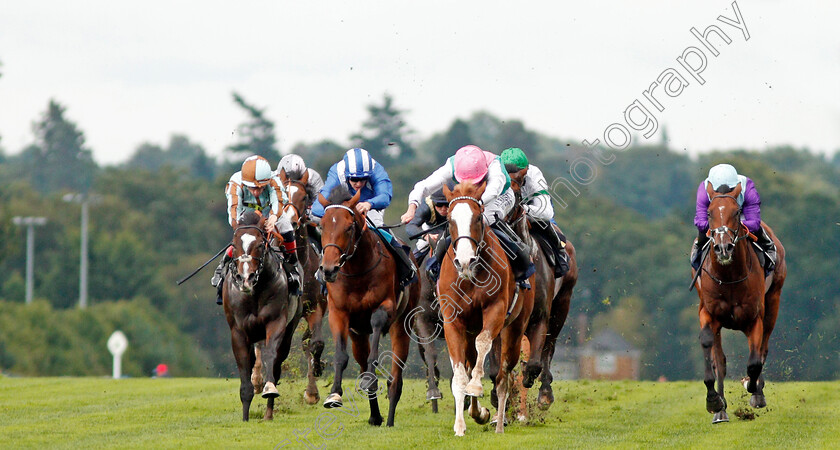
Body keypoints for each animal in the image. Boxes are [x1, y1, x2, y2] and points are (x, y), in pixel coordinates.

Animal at [221, 211, 304, 422]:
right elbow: (244, 366)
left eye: (259, 244)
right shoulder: (238, 331)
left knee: (277, 362)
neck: (255, 292)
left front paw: (269, 388)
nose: (245, 279)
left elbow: (270, 356)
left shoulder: (276, 322)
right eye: (234, 244)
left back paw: (268, 412)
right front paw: (245, 416)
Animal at [316, 185, 418, 426]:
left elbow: (375, 351)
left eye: (349, 226)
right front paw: (334, 395)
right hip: (357, 334)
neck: (357, 270)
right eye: (322, 225)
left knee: (395, 377)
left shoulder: (385, 307)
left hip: (402, 325)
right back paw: (374, 415)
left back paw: (388, 418)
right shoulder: (339, 313)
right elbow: (341, 356)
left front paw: (371, 380)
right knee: (361, 359)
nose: (329, 269)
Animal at [692, 181, 784, 424]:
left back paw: (757, 392)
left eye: (737, 212)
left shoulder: (754, 318)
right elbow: (712, 352)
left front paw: (753, 388)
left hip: (774, 301)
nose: (723, 248)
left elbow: (754, 362)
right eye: (708, 213)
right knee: (721, 361)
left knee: (763, 349)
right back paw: (721, 410)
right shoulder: (708, 313)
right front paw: (714, 401)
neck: (729, 276)